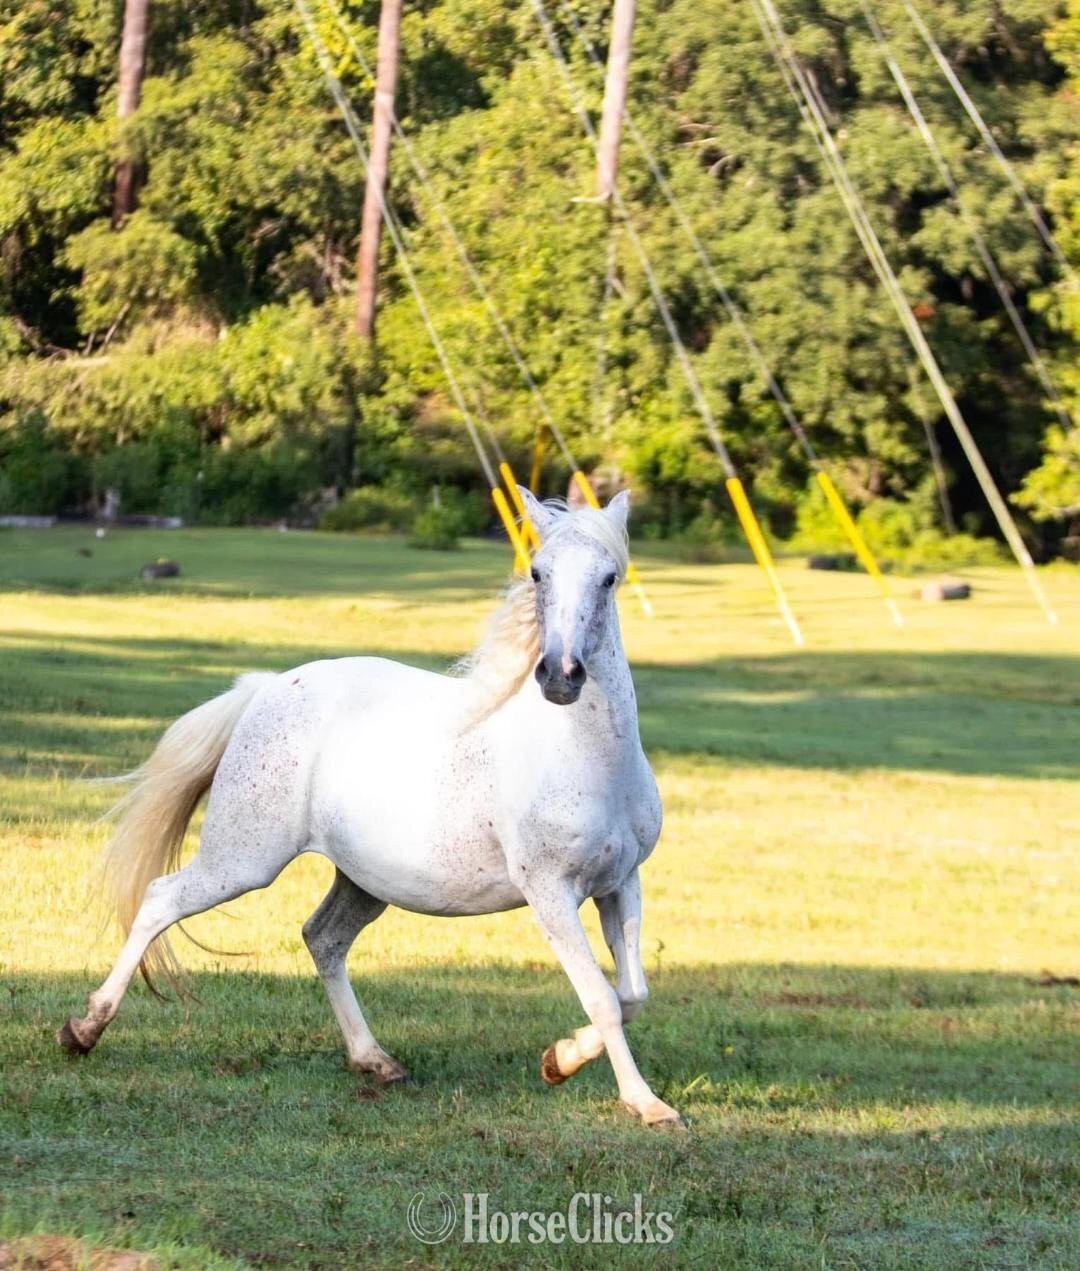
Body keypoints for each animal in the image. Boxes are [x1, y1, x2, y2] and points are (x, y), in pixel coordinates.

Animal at [58, 488, 681, 1128]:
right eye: (538, 572)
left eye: (609, 578)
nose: (560, 676)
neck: (589, 762)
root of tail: (267, 687)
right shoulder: (550, 891)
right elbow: (603, 997)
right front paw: (647, 1105)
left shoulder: (620, 882)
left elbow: (633, 994)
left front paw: (558, 1060)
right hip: (242, 860)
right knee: (161, 900)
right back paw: (83, 1030)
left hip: (361, 881)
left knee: (322, 938)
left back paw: (375, 1061)